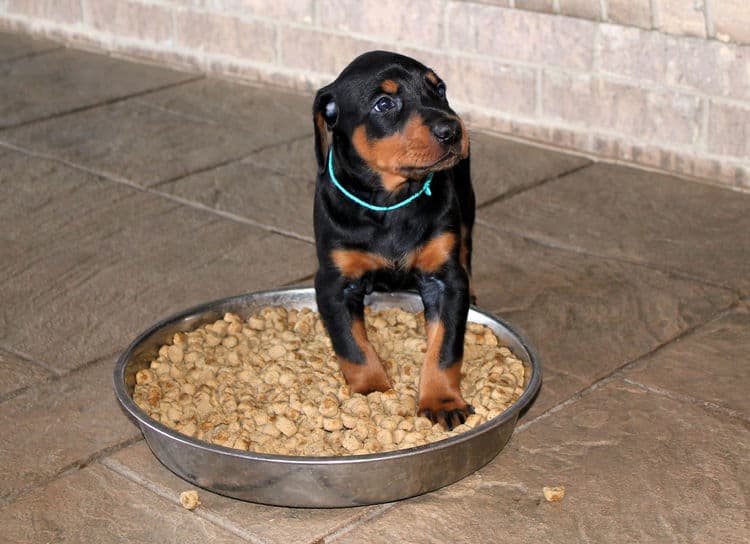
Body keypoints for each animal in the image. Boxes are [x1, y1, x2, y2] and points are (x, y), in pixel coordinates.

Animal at [312, 52, 476, 434]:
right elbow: (352, 346)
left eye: (440, 90)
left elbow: (445, 348)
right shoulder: (333, 283)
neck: (391, 202)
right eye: (384, 104)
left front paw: (442, 401)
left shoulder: (445, 282)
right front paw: (372, 390)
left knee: (466, 247)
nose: (452, 130)